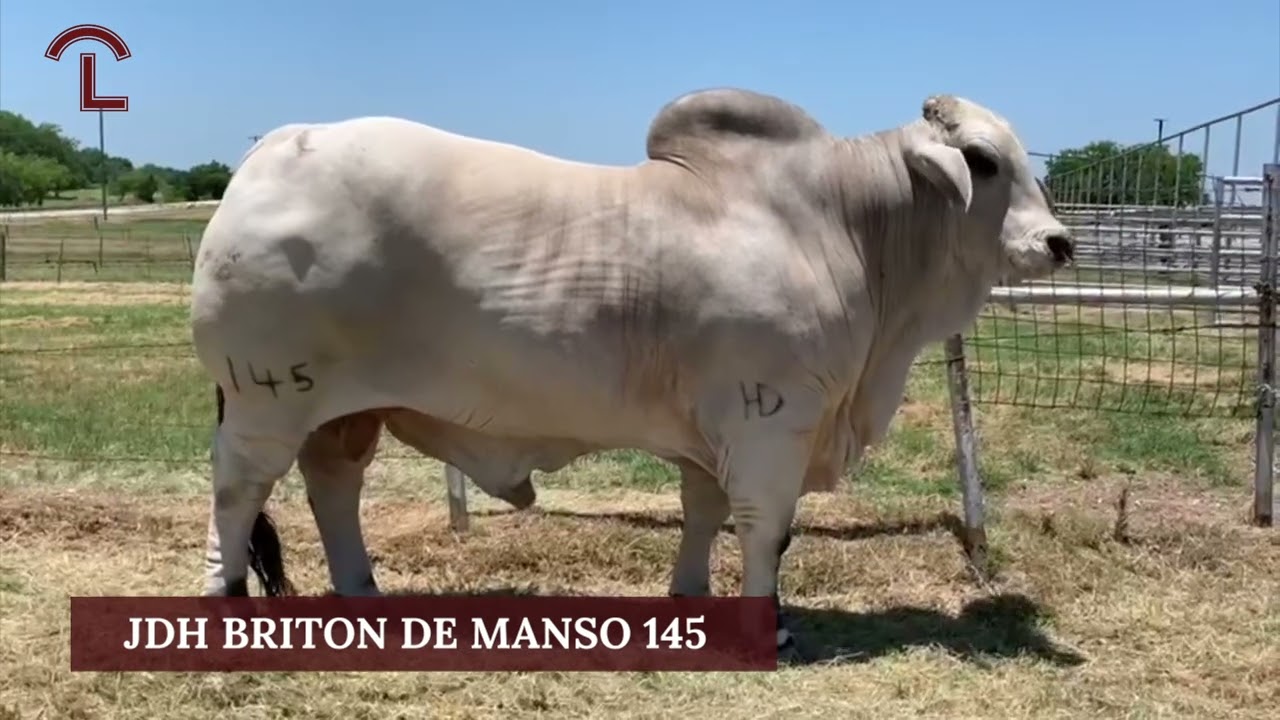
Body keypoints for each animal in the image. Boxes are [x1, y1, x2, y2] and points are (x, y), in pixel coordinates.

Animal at [190, 88, 1073, 652]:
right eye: (983, 160)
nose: (1059, 242)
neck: (844, 228)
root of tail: (269, 154)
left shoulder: (715, 433)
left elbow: (703, 513)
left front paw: (694, 599)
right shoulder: (771, 419)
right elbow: (767, 529)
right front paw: (770, 626)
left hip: (340, 412)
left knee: (333, 489)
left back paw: (364, 597)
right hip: (266, 401)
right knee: (238, 494)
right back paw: (225, 601)